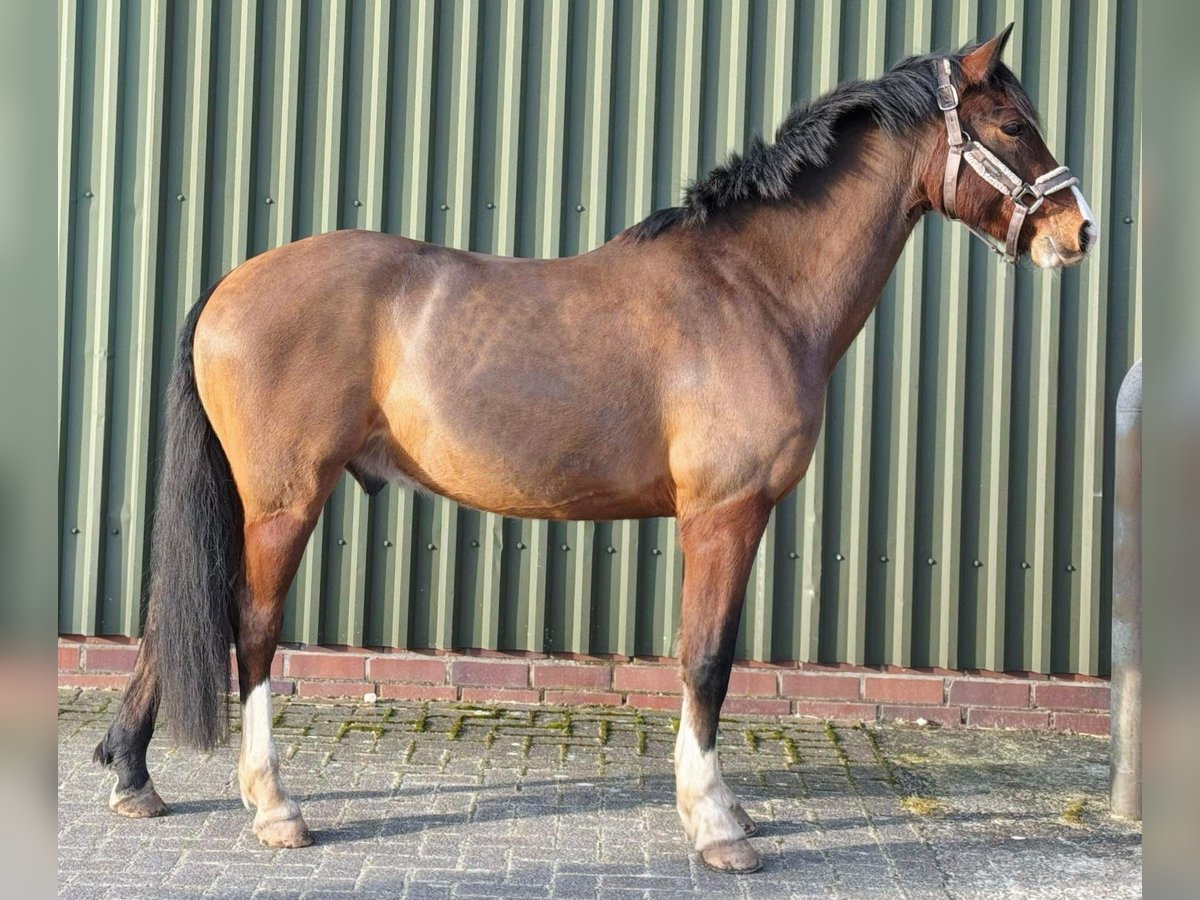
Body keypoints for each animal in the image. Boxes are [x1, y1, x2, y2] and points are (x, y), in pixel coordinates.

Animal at [98, 28, 1094, 873]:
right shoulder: (723, 515)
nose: (1077, 231)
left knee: (174, 612)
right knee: (251, 630)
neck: (752, 287)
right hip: (285, 500)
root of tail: (231, 283)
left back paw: (133, 775)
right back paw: (274, 807)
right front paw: (717, 824)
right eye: (1012, 124)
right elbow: (707, 661)